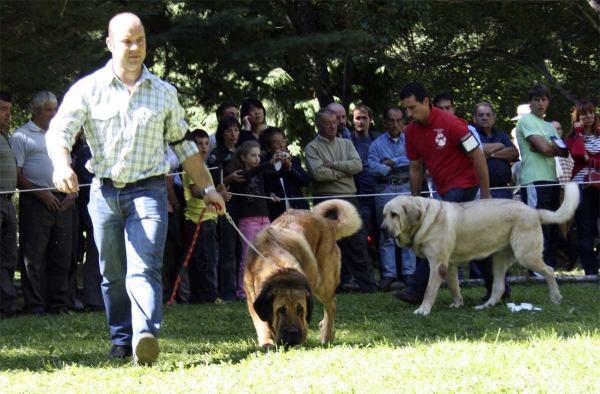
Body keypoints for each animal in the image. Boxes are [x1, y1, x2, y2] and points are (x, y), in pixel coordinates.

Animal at [243, 200, 360, 348]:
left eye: (300, 309)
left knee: (331, 304)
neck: (280, 268)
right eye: (281, 310)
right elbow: (261, 324)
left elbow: (305, 322)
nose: (293, 333)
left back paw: (327, 334)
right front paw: (267, 343)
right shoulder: (252, 298)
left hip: (323, 284)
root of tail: (326, 222)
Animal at [380, 183, 580, 316]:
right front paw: (458, 304)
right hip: (499, 260)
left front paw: (423, 309)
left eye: (394, 215)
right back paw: (486, 306)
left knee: (550, 271)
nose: (382, 229)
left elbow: (430, 290)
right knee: (498, 287)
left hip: (526, 256)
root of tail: (533, 211)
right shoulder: (449, 265)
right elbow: (454, 286)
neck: (424, 218)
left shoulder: (437, 264)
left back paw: (556, 297)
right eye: (383, 215)